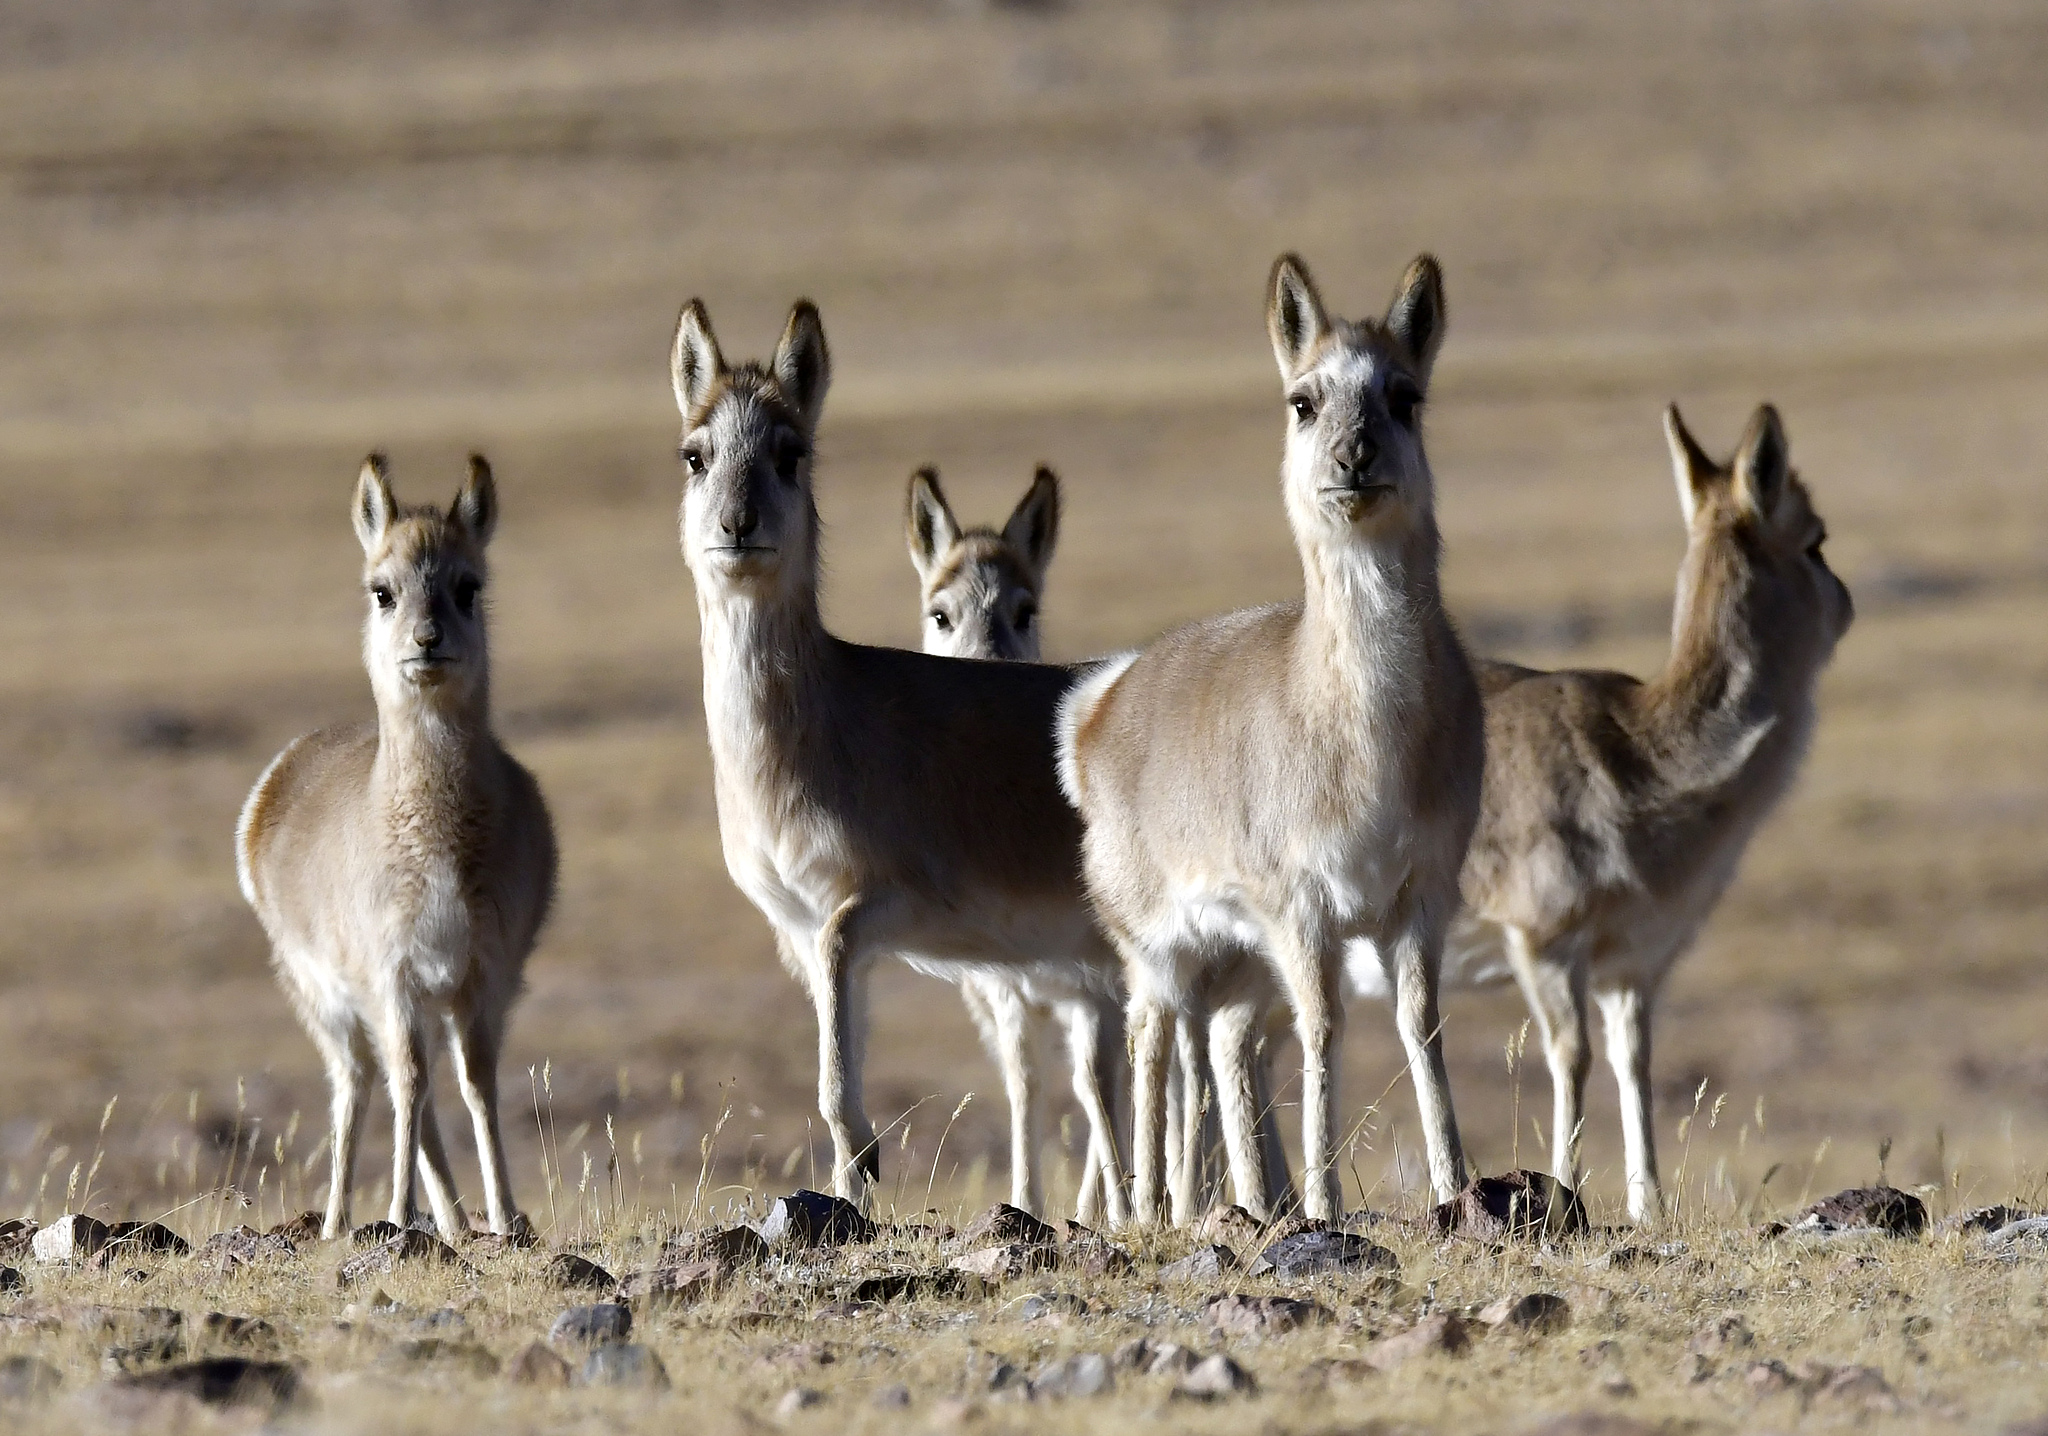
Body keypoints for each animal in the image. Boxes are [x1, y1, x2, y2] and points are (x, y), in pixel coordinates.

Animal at [236, 452, 557, 1237]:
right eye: (382, 590)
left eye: (468, 586)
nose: (426, 640)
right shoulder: (395, 976)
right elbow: (409, 1086)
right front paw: (397, 1212)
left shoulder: (481, 978)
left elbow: (475, 1085)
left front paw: (506, 1216)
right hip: (327, 1000)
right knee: (359, 1083)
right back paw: (336, 1221)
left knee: (410, 1081)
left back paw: (455, 1221)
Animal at [667, 303, 1122, 1220]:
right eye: (695, 453)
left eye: (790, 449)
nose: (737, 525)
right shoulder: (803, 936)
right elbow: (839, 1061)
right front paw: (852, 1191)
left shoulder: (879, 909)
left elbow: (837, 1064)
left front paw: (868, 1169)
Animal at [1064, 251, 1482, 1212]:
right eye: (1303, 399)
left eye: (1404, 395)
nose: (1354, 456)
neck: (1367, 740)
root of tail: (1102, 702)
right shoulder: (1304, 911)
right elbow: (1327, 1029)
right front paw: (1327, 1204)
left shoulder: (1420, 899)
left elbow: (1421, 1027)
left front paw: (1456, 1189)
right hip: (1161, 946)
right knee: (1151, 1036)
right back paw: (1154, 1206)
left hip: (1238, 961)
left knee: (1223, 1041)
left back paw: (1246, 1201)